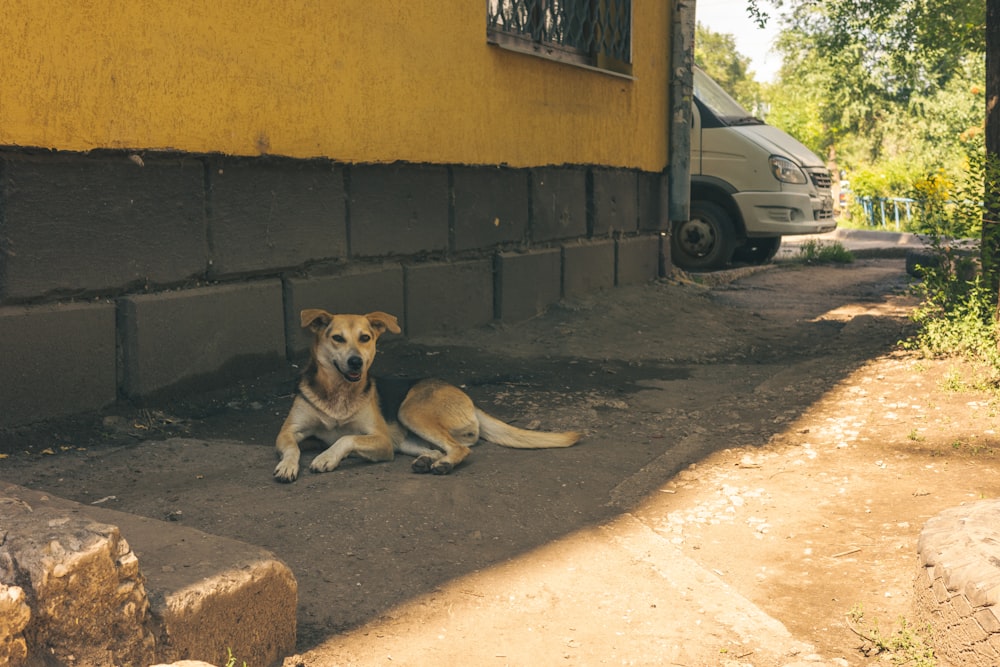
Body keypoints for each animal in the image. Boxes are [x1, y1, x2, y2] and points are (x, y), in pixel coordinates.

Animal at [274, 310, 584, 482]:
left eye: (365, 338)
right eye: (337, 338)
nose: (356, 363)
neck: (338, 392)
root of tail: (464, 395)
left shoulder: (381, 441)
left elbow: (346, 438)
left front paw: (326, 457)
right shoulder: (288, 432)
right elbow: (292, 447)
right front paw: (287, 466)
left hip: (410, 411)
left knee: (461, 449)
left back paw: (443, 464)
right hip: (407, 434)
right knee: (441, 447)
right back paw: (429, 459)